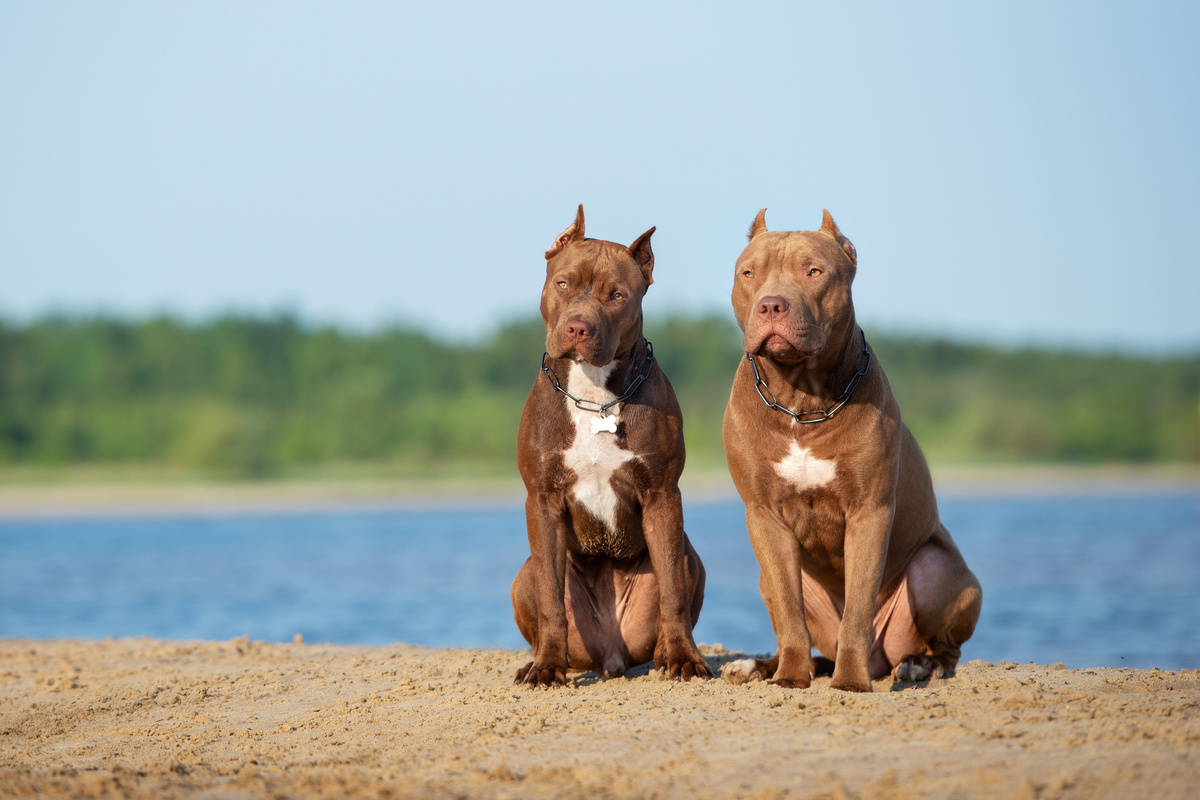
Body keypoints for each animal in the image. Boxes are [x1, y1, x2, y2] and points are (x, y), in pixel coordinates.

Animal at [508, 203, 710, 686]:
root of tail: (610, 655)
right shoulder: (542, 499)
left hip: (692, 560)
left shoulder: (661, 494)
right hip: (522, 577)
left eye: (617, 295)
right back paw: (539, 659)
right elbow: (550, 598)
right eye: (563, 283)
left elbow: (672, 592)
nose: (578, 328)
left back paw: (665, 653)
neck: (594, 392)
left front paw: (684, 658)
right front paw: (546, 668)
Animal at [715, 209, 979, 690]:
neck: (802, 402)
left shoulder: (868, 511)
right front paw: (789, 677)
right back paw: (760, 666)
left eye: (814, 272)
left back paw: (918, 665)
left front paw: (851, 682)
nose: (771, 304)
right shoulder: (764, 516)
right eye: (749, 273)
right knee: (804, 632)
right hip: (770, 578)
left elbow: (858, 606)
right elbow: (790, 610)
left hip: (939, 573)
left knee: (944, 646)